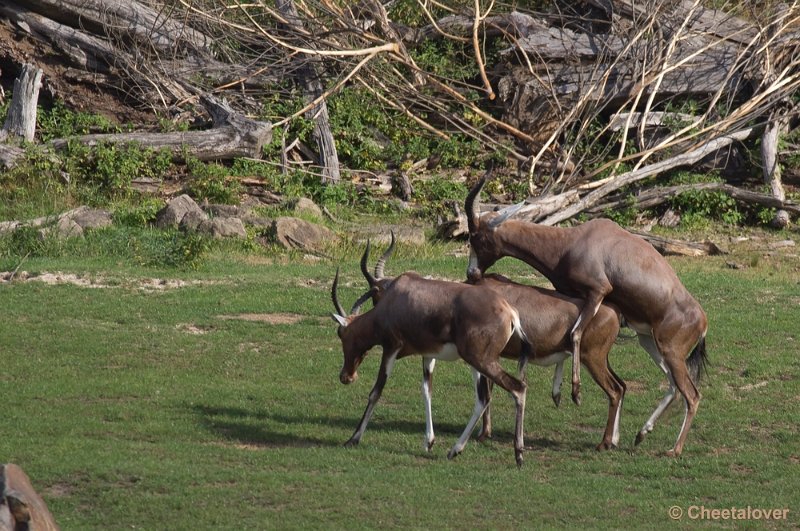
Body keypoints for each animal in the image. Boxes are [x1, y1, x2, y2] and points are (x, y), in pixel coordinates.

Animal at [332, 270, 532, 466]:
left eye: (341, 333)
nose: (346, 377)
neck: (397, 295)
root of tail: (510, 312)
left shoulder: (391, 348)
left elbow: (376, 392)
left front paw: (353, 439)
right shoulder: (428, 355)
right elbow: (426, 391)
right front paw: (429, 442)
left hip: (481, 361)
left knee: (518, 388)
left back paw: (518, 455)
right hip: (477, 363)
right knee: (483, 398)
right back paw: (454, 451)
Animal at [360, 241, 628, 454]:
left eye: (377, 295)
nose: (380, 321)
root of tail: (614, 311)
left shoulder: (482, 358)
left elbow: (485, 392)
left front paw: (481, 435)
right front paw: (483, 434)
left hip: (592, 359)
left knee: (614, 391)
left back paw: (603, 444)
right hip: (601, 360)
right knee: (622, 386)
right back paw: (614, 441)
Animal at [466, 171, 708, 458]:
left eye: (476, 236)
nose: (472, 274)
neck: (573, 241)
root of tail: (702, 322)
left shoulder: (598, 291)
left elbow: (575, 333)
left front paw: (574, 392)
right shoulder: (573, 296)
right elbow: (568, 333)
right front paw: (559, 392)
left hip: (671, 351)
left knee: (691, 394)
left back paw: (673, 449)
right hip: (649, 341)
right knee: (672, 385)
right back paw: (640, 433)